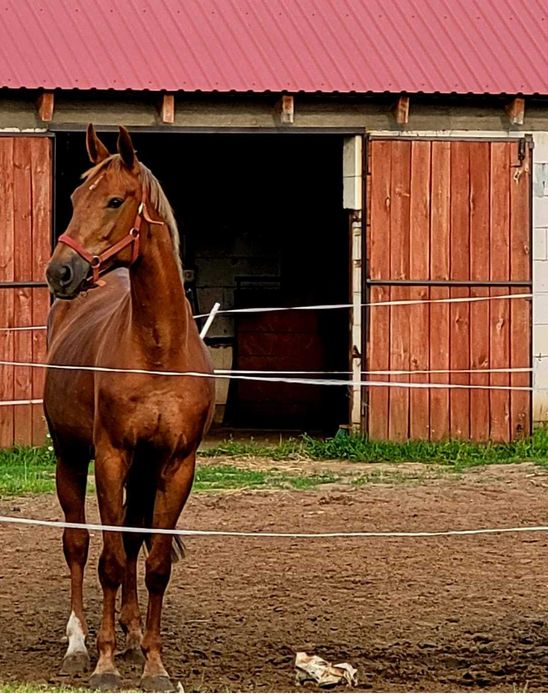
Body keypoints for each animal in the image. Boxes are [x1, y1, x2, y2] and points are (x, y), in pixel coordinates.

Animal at [44, 126, 214, 696]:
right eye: (76, 197)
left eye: (115, 201)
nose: (61, 271)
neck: (158, 349)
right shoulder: (111, 456)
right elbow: (110, 562)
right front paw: (104, 663)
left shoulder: (176, 464)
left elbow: (154, 562)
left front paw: (154, 663)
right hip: (70, 458)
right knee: (78, 544)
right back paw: (78, 644)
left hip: (142, 472)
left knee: (136, 538)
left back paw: (133, 629)